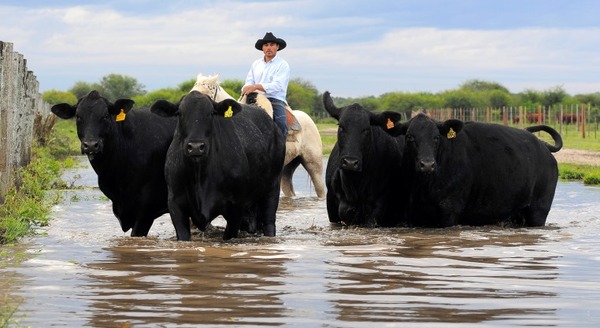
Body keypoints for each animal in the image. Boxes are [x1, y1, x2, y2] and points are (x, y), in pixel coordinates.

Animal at [148, 91, 284, 240]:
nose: (195, 147)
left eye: (211, 113)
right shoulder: (175, 204)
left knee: (269, 222)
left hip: (272, 189)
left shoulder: (236, 206)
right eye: (179, 113)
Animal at [398, 113, 564, 228]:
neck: (425, 186)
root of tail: (543, 145)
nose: (427, 164)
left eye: (436, 137)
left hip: (538, 211)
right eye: (409, 137)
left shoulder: (449, 211)